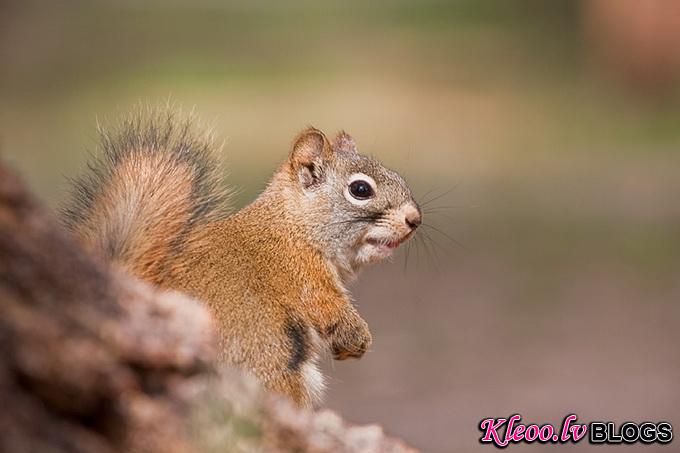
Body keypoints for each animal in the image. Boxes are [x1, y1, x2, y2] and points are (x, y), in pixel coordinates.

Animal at [66, 108, 422, 406]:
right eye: (360, 190)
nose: (414, 219)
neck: (293, 227)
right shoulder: (304, 273)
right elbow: (330, 309)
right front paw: (358, 339)